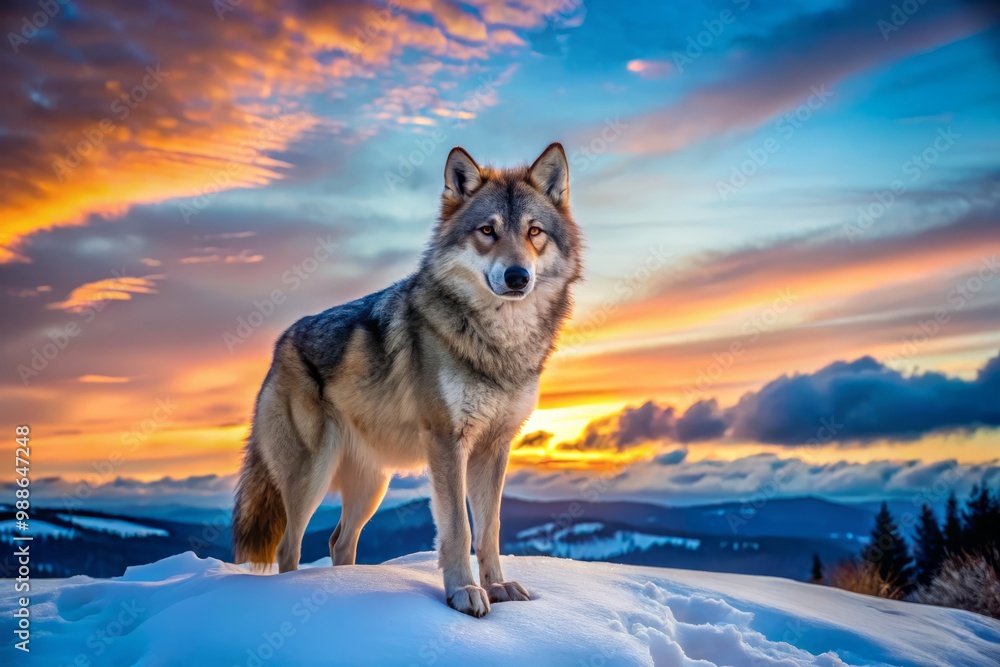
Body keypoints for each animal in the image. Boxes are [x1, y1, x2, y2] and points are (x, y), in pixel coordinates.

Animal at [232, 143, 582, 617]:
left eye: (534, 232)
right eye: (487, 231)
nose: (517, 277)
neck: (500, 344)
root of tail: (280, 344)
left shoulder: (494, 446)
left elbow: (490, 529)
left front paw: (497, 588)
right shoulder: (447, 440)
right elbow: (459, 529)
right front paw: (463, 593)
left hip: (371, 486)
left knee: (338, 541)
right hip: (312, 474)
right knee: (290, 547)